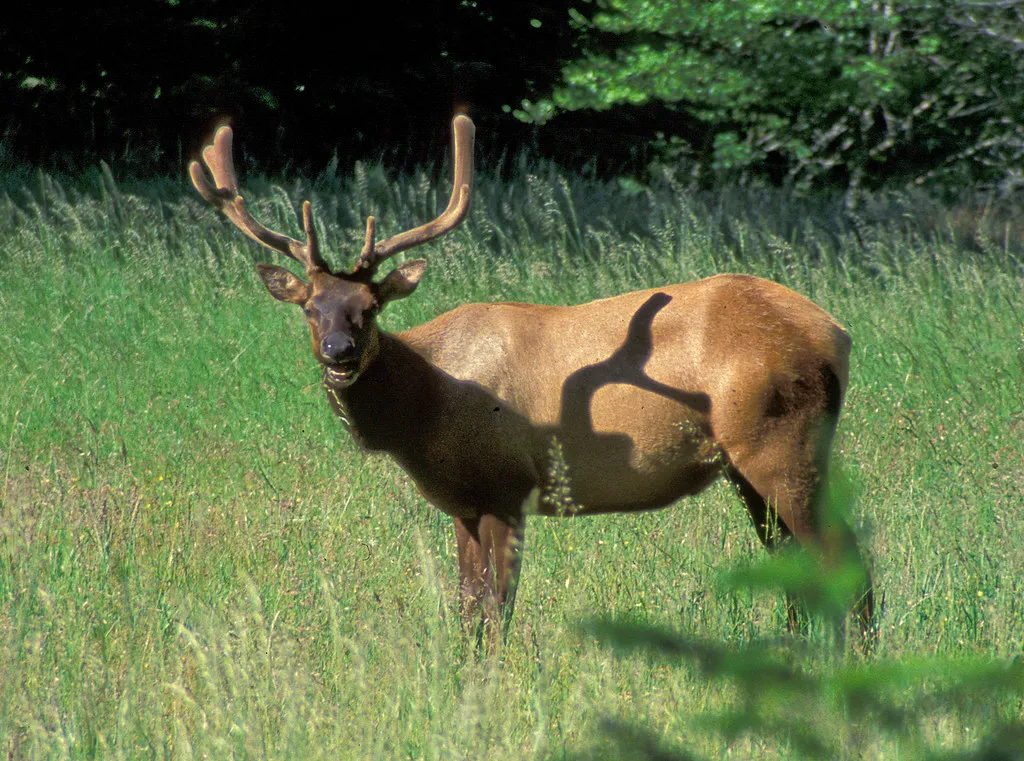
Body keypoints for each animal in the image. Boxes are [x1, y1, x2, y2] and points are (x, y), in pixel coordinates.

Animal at [189, 115, 875, 646]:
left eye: (370, 307)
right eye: (311, 307)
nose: (339, 352)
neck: (426, 410)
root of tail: (837, 334)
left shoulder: (506, 484)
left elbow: (496, 611)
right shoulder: (465, 501)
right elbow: (466, 610)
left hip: (781, 441)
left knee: (847, 561)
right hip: (746, 464)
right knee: (795, 566)